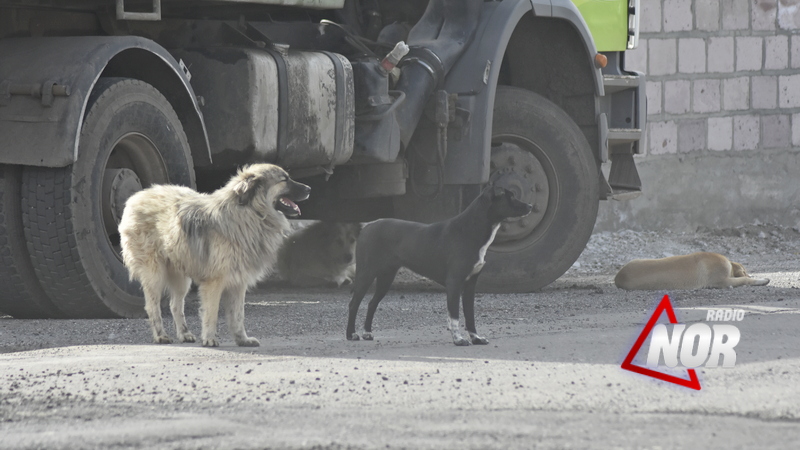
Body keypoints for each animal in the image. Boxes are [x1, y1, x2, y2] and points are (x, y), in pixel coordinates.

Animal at [344, 185, 532, 344]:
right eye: (510, 197)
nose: (530, 206)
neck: (470, 230)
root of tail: (367, 226)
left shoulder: (470, 285)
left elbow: (470, 315)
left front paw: (476, 338)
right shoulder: (454, 283)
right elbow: (455, 315)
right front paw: (459, 339)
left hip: (386, 277)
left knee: (372, 304)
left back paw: (367, 333)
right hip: (366, 273)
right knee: (354, 304)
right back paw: (351, 334)